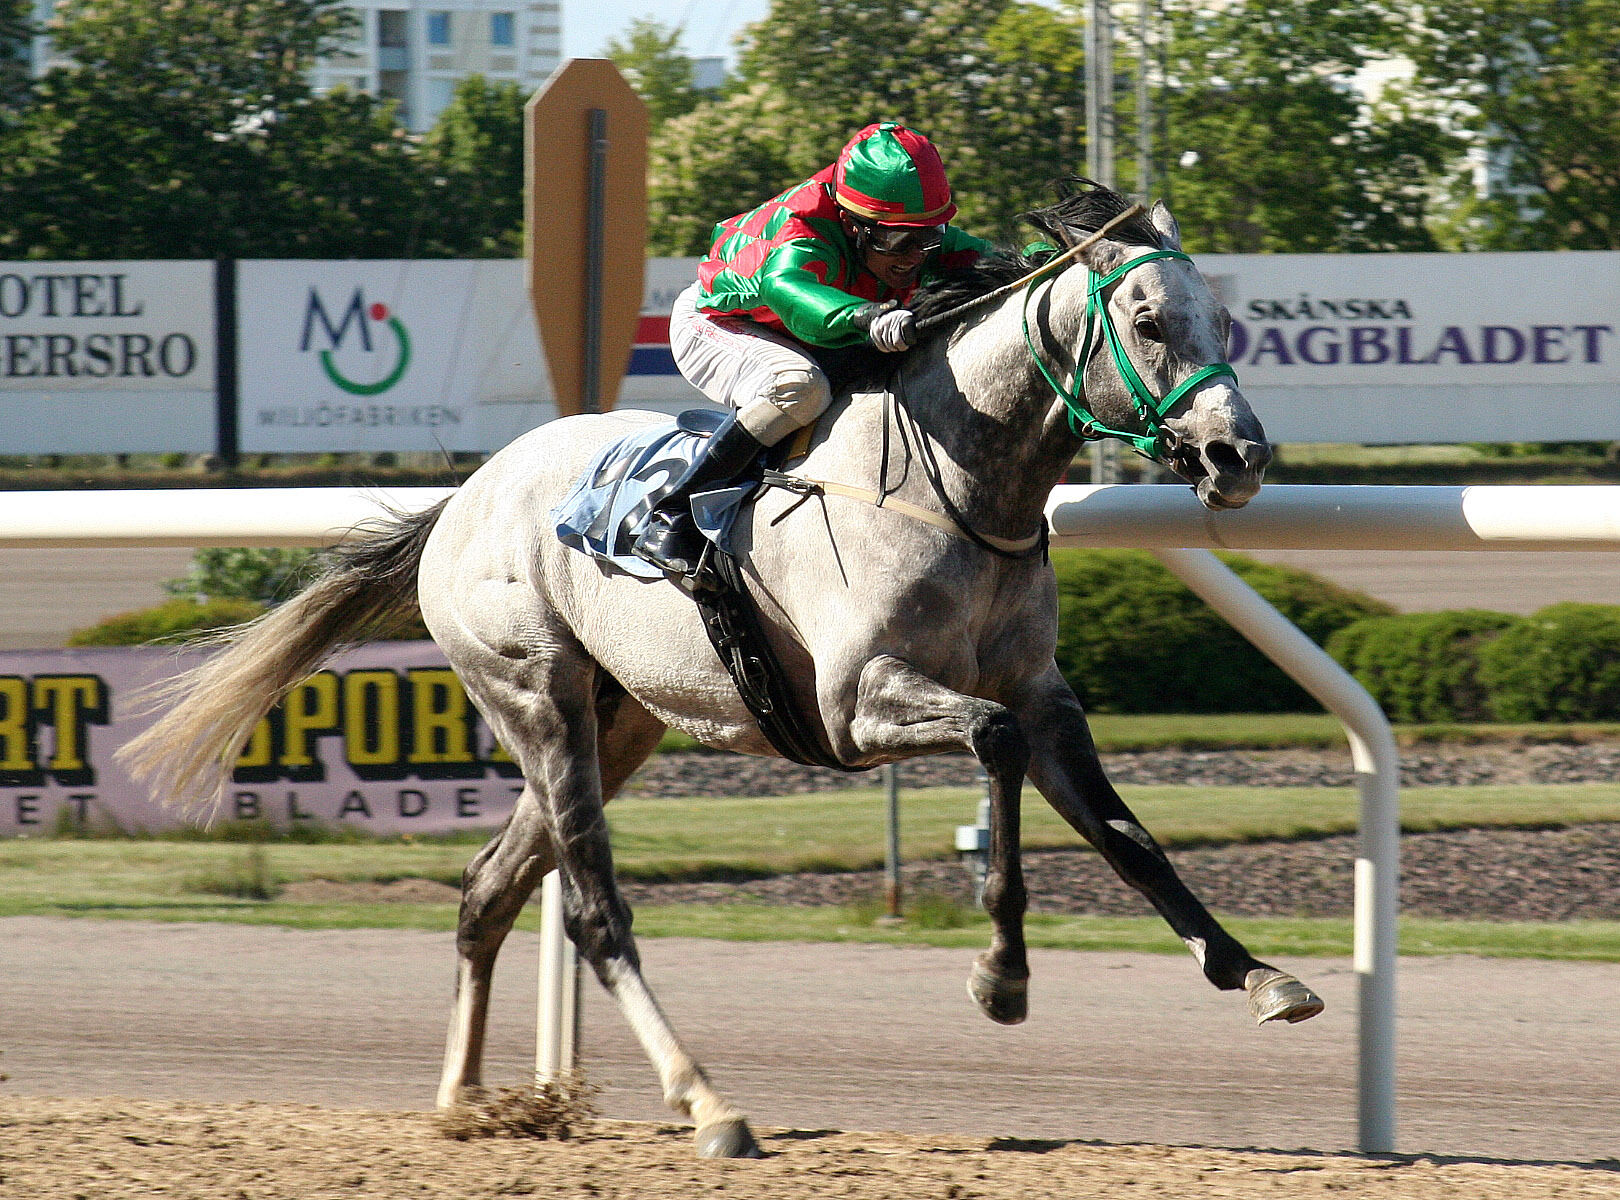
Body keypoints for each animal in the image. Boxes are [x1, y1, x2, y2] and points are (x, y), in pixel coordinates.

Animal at [122, 180, 1321, 1159]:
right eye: (1148, 321)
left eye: (1224, 320)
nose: (1240, 457)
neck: (954, 487)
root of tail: (464, 497)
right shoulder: (857, 705)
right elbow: (993, 744)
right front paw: (1002, 976)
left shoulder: (1044, 691)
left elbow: (1129, 837)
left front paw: (1259, 976)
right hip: (536, 697)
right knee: (592, 910)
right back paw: (706, 1103)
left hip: (616, 721)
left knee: (489, 889)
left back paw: (467, 1102)